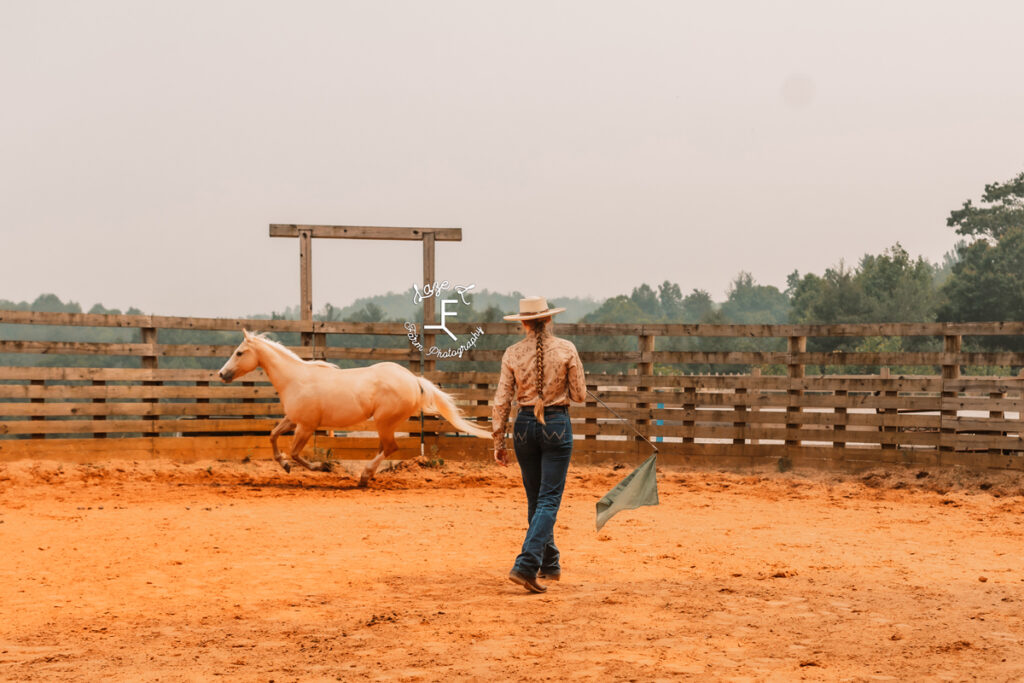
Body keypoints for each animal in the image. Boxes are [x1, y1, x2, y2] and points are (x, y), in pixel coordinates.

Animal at [218, 329, 489, 485]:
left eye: (239, 352)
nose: (222, 374)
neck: (295, 378)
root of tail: (414, 380)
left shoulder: (306, 426)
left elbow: (295, 453)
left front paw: (323, 467)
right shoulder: (293, 419)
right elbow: (273, 436)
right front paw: (283, 465)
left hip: (384, 421)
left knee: (390, 447)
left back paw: (364, 477)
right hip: (385, 424)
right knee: (385, 448)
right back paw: (368, 475)